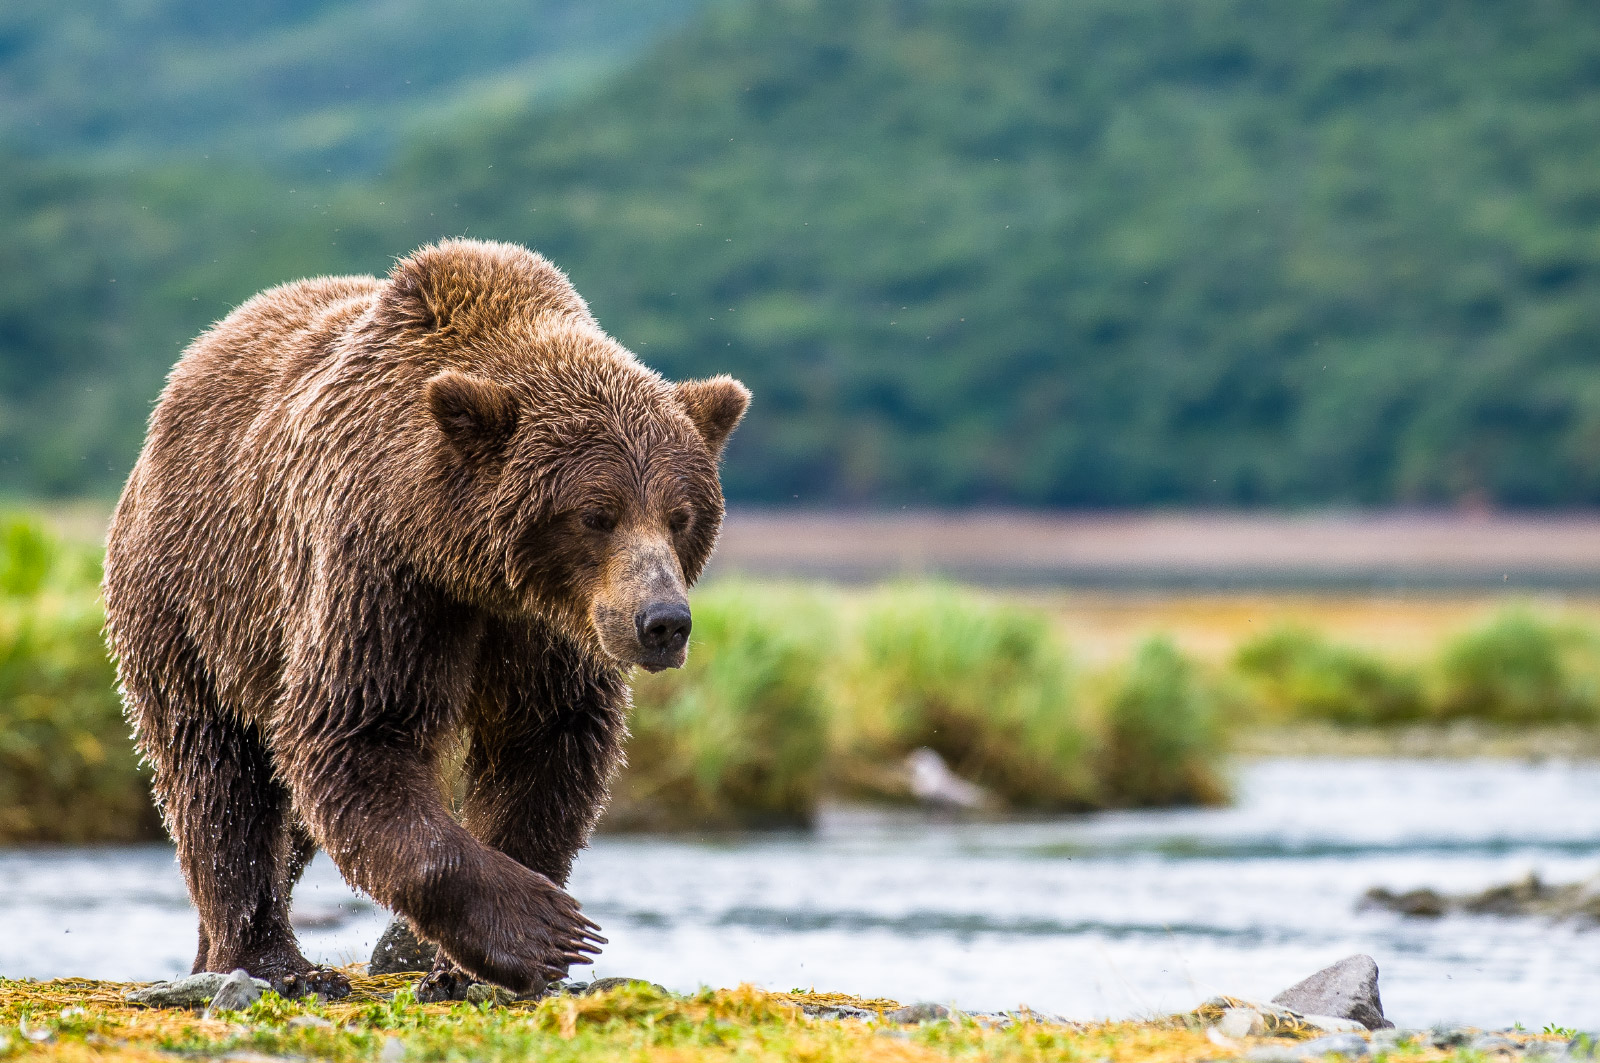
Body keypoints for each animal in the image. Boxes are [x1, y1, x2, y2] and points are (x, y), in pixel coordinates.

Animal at [101, 236, 748, 998]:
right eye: (596, 514)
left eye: (682, 516)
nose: (663, 621)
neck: (469, 561)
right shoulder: (383, 575)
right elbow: (355, 733)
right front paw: (539, 930)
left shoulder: (548, 636)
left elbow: (549, 748)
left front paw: (467, 965)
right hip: (192, 602)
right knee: (218, 780)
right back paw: (272, 960)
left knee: (285, 810)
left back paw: (215, 953)